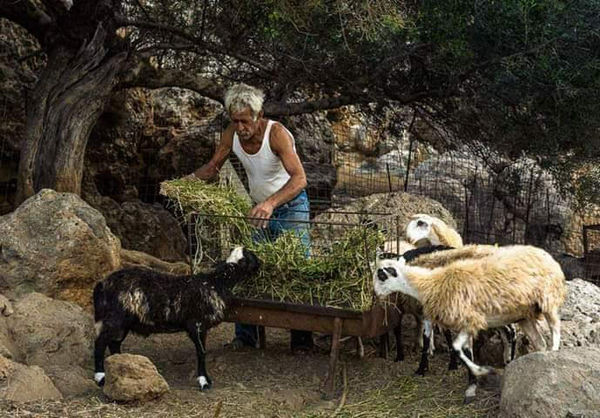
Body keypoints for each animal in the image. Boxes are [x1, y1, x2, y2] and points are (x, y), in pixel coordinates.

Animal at [92, 247, 258, 390]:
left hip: (123, 323)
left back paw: (120, 364)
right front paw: (203, 381)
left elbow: (202, 351)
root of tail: (101, 285)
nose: (260, 265)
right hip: (114, 318)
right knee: (100, 343)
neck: (217, 281)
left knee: (114, 343)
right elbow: (202, 352)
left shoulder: (201, 326)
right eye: (251, 256)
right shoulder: (196, 324)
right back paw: (101, 376)